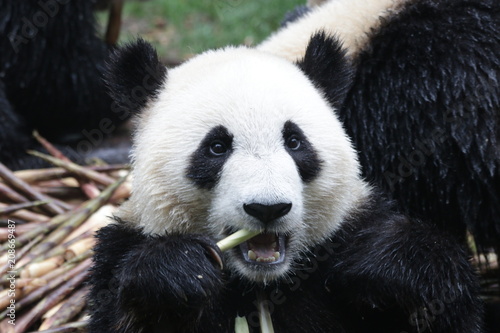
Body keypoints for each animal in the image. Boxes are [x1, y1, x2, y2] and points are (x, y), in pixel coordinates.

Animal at [88, 35, 482, 330]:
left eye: (294, 142)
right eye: (217, 147)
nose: (267, 208)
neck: (261, 283)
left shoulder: (348, 232)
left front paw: (387, 264)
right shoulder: (121, 248)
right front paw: (179, 271)